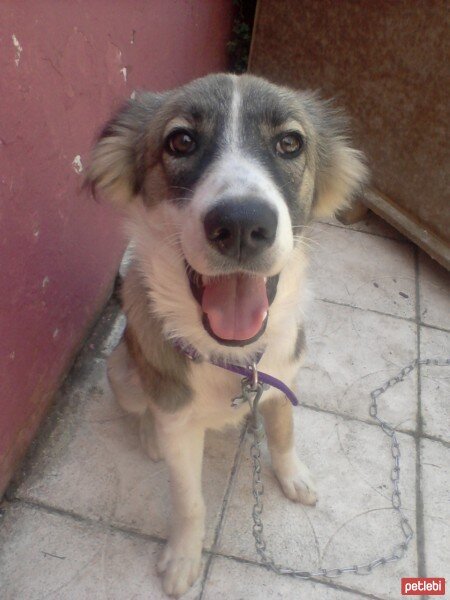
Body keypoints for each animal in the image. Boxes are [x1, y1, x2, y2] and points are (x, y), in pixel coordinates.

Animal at [86, 71, 368, 596]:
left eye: (290, 143)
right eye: (180, 140)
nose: (240, 224)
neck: (236, 359)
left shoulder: (283, 383)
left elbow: (283, 434)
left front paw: (293, 477)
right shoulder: (179, 423)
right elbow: (189, 500)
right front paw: (183, 559)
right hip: (123, 371)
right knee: (138, 407)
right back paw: (148, 436)